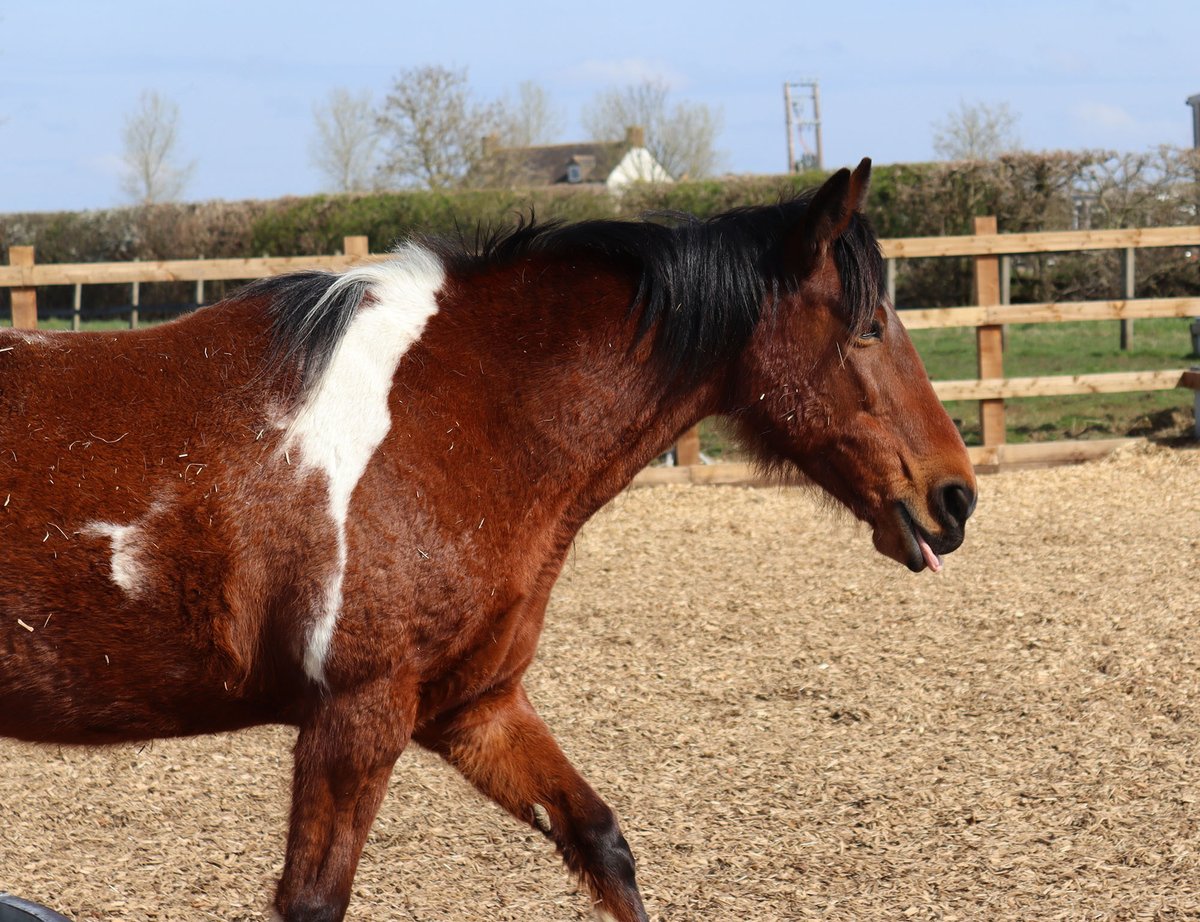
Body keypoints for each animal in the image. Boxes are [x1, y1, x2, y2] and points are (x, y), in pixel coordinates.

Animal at [0, 160, 974, 922]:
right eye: (869, 325)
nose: (955, 497)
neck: (457, 416)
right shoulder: (356, 716)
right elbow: (315, 900)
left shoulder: (476, 707)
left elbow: (602, 843)